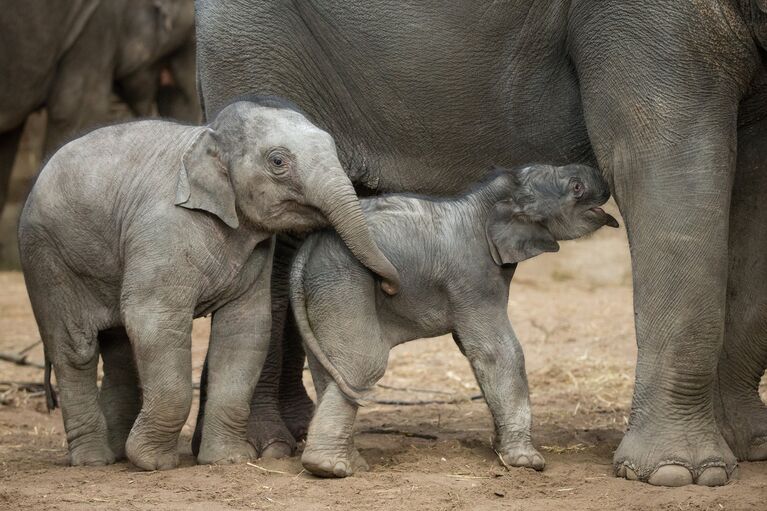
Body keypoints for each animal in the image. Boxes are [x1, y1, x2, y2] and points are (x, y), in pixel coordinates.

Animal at [18, 96, 402, 472]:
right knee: (76, 350)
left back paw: (116, 453)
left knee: (118, 348)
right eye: (278, 161)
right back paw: (93, 460)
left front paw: (229, 458)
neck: (207, 136)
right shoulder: (162, 231)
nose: (389, 287)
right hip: (46, 259)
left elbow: (245, 329)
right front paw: (153, 462)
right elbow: (154, 321)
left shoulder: (255, 252)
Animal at [292, 162, 620, 478]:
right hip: (344, 280)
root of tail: (308, 247)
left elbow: (471, 348)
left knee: (329, 369)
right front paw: (526, 462)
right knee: (362, 364)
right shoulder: (473, 275)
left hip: (321, 288)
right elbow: (498, 351)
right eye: (576, 188)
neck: (489, 199)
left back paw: (352, 464)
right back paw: (328, 468)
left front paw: (502, 450)